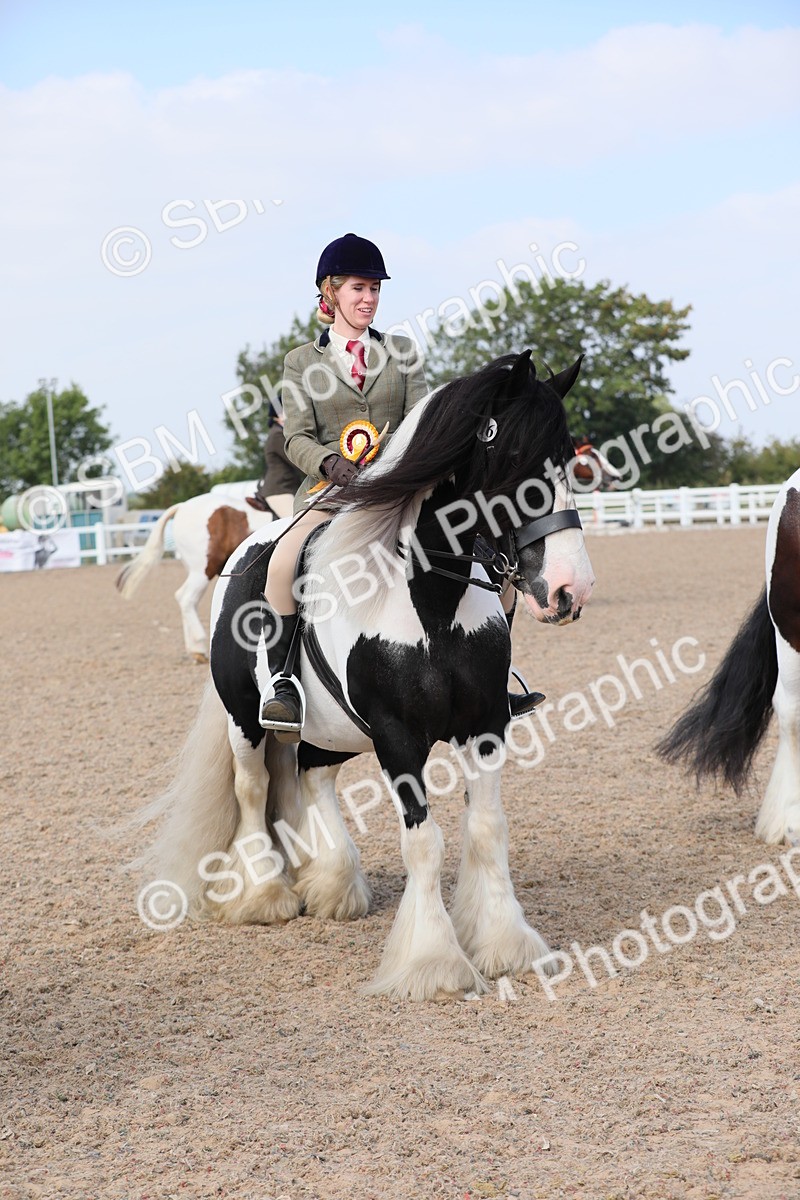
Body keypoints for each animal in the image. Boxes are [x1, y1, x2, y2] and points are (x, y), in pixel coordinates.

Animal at [116, 491, 275, 661]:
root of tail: (182, 506)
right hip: (203, 570)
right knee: (186, 598)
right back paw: (200, 642)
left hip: (195, 571)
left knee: (188, 600)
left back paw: (196, 649)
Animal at [144, 350, 595, 1000]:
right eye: (514, 458)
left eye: (570, 462)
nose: (569, 588)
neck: (429, 602)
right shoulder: (397, 738)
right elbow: (424, 843)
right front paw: (432, 963)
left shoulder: (486, 725)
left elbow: (487, 829)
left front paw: (504, 945)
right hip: (246, 721)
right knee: (254, 788)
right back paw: (264, 895)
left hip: (332, 731)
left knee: (311, 775)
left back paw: (333, 883)